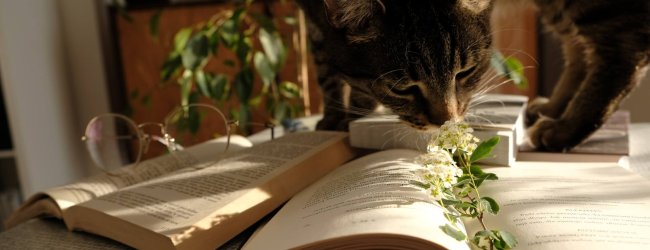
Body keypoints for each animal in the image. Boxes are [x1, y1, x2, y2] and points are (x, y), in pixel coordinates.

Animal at [298, 0, 648, 151]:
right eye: (401, 87)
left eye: (465, 72)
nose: (446, 121)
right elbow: (324, 65)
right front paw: (337, 116)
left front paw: (350, 113)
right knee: (578, 48)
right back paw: (552, 109)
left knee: (624, 51)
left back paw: (564, 129)